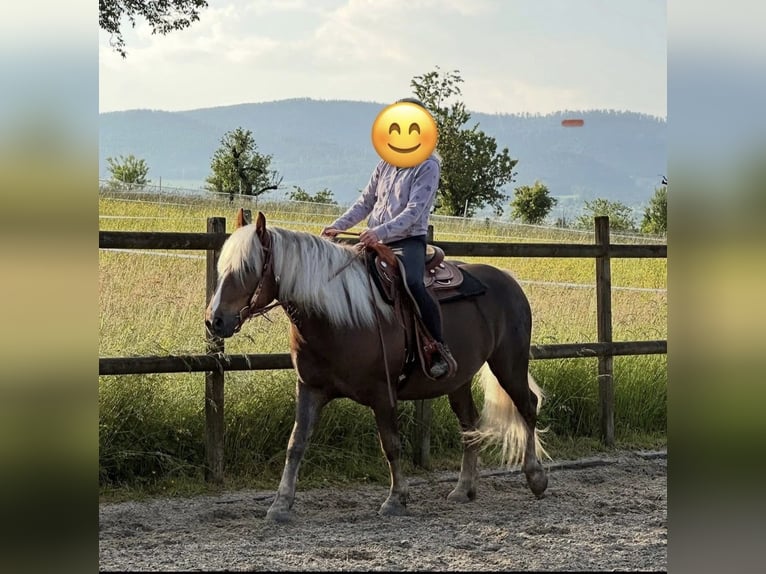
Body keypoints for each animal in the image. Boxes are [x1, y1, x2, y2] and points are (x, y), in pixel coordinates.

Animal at [205, 211, 549, 522]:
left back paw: (536, 478)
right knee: (469, 423)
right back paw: (464, 488)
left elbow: (391, 445)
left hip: (509, 362)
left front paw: (396, 499)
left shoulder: (383, 393)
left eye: (247, 268)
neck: (338, 316)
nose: (214, 320)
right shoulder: (310, 388)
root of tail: (507, 279)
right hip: (459, 379)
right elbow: (296, 443)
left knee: (527, 406)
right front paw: (280, 504)